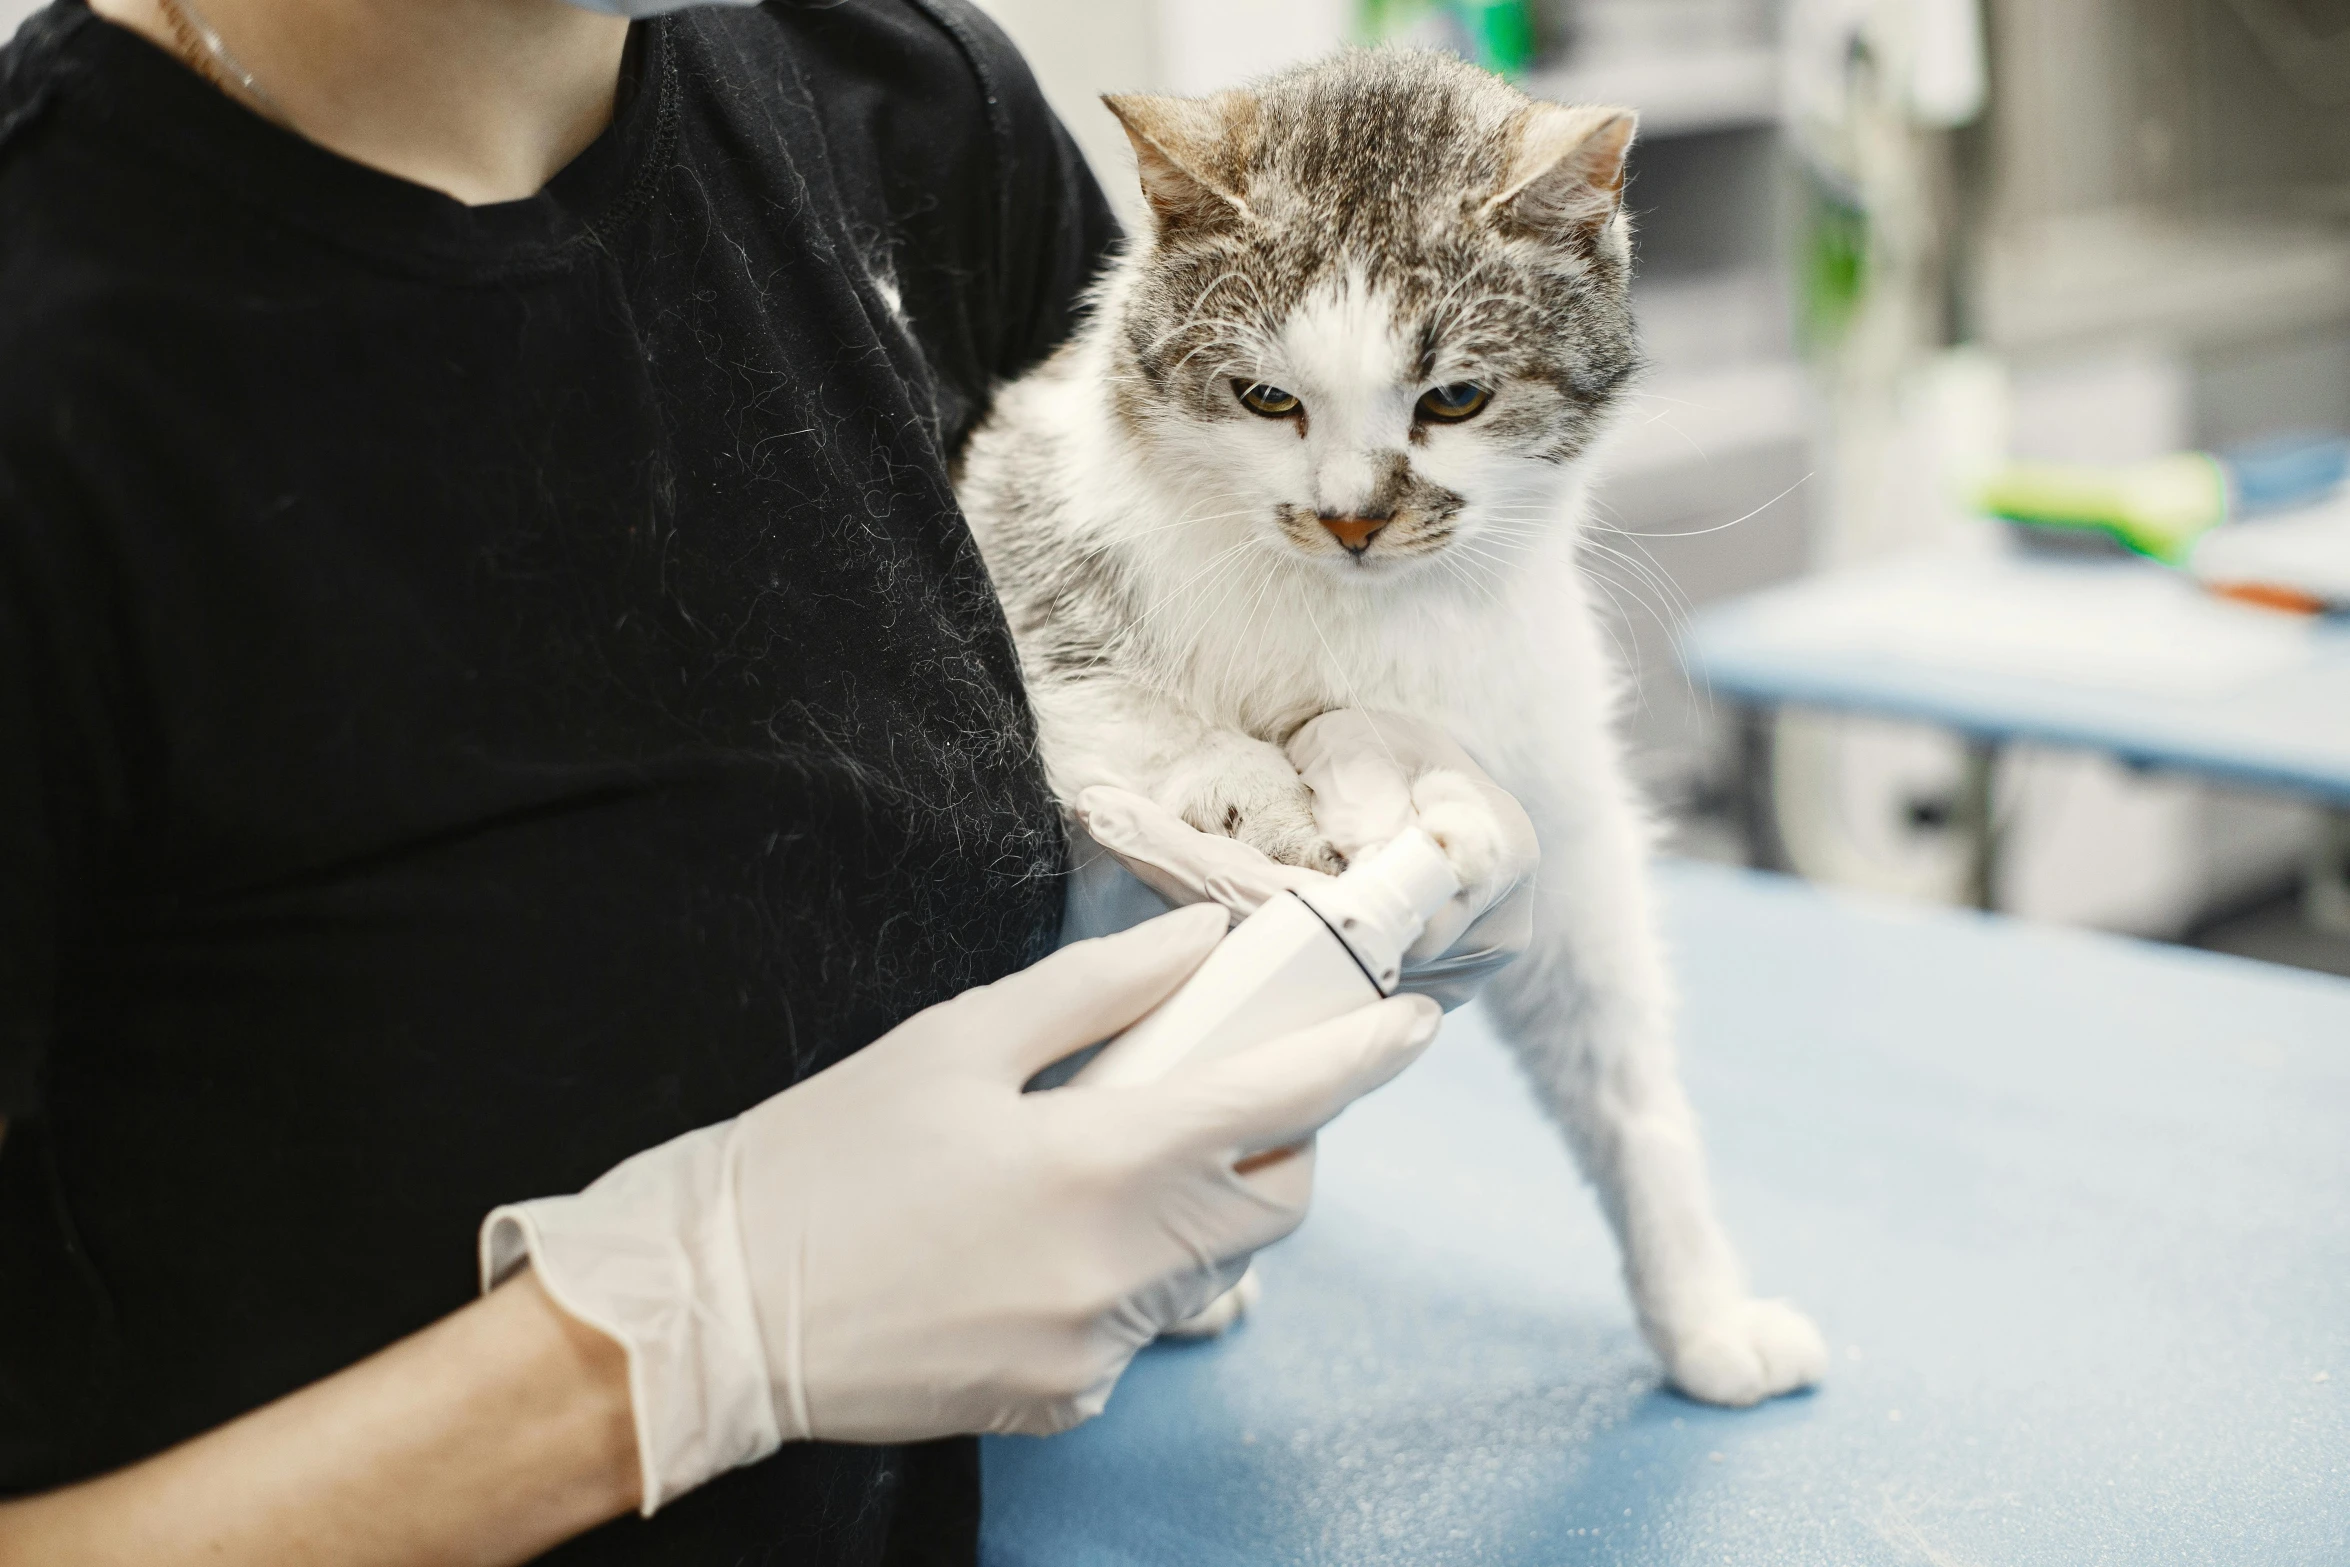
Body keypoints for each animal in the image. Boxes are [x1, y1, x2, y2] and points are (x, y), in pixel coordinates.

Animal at [944, 46, 1823, 1409]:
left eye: (1453, 398)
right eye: (1266, 399)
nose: (1350, 516)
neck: (1356, 622)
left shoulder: (1556, 801)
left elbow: (1621, 1069)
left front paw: (1703, 1313)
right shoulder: (1022, 543)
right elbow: (1135, 710)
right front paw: (1269, 806)